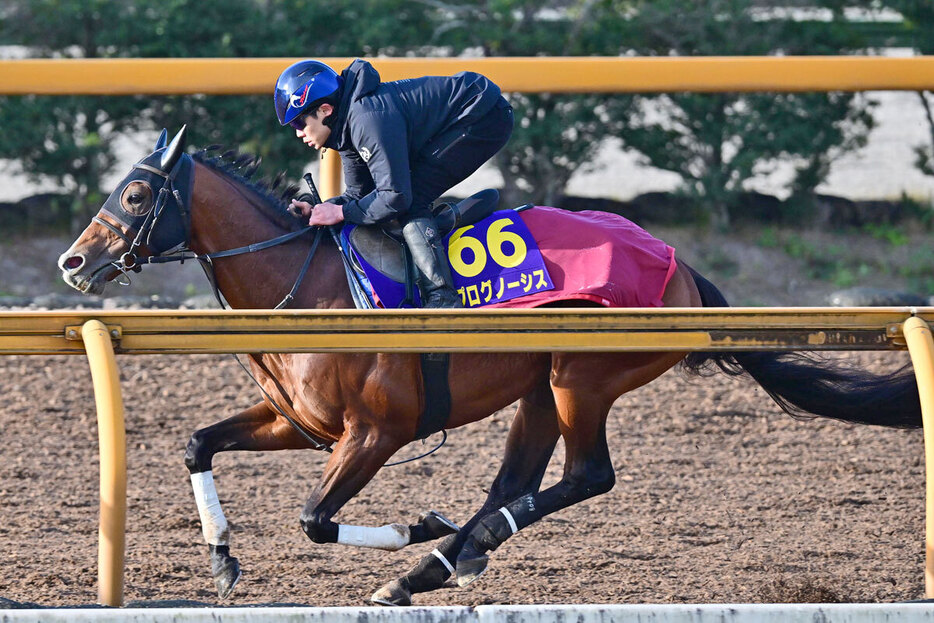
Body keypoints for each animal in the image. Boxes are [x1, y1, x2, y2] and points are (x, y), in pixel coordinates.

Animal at [60, 127, 928, 604]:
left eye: (135, 194)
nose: (72, 262)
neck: (311, 282)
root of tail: (679, 265)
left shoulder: (375, 432)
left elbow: (314, 518)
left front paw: (419, 523)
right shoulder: (296, 421)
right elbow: (196, 443)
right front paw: (222, 557)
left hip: (581, 378)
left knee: (585, 476)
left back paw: (441, 551)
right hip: (541, 385)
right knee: (518, 480)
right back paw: (441, 562)